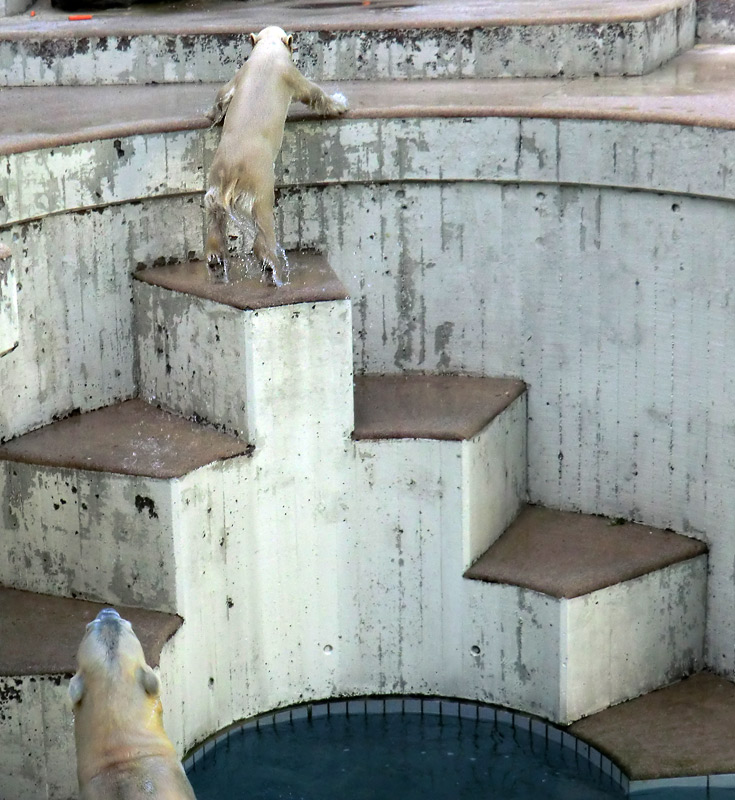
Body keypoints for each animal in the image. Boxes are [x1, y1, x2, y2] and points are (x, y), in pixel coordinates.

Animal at [204, 25, 348, 288]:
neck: (267, 53)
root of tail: (231, 174)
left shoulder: (241, 73)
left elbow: (223, 93)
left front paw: (210, 115)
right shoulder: (289, 73)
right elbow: (313, 93)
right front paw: (340, 103)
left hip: (214, 182)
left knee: (215, 220)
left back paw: (215, 261)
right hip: (258, 186)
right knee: (263, 227)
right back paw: (274, 271)